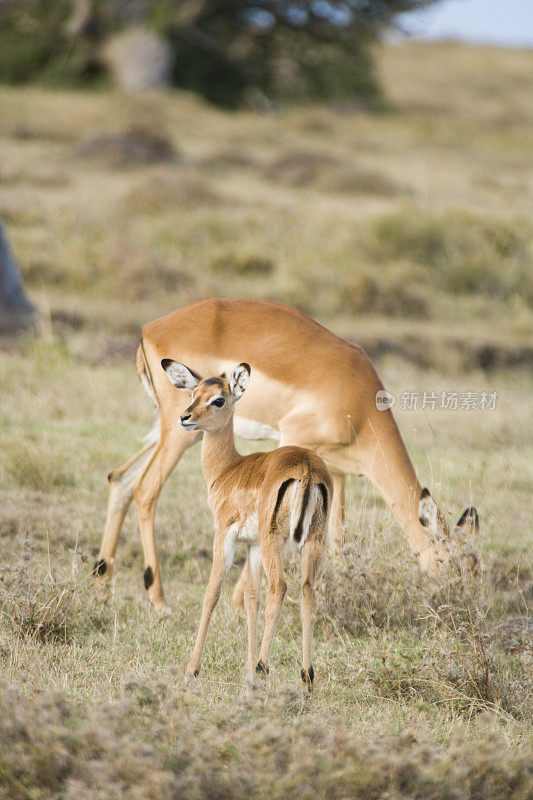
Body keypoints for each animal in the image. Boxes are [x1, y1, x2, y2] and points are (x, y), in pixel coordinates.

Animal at [93, 296, 480, 608]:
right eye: (453, 561)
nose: (461, 603)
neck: (359, 404)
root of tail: (150, 329)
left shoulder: (336, 471)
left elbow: (336, 537)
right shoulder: (292, 444)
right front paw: (240, 606)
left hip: (183, 431)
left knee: (120, 480)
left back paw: (101, 582)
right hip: (179, 429)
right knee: (145, 490)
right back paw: (158, 600)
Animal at [162, 360, 330, 692]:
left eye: (219, 399)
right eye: (194, 394)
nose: (185, 418)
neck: (228, 470)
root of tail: (306, 466)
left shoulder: (224, 536)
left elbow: (212, 593)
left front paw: (192, 670)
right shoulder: (251, 545)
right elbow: (251, 599)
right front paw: (248, 675)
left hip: (274, 539)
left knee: (279, 587)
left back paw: (265, 666)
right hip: (312, 541)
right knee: (307, 591)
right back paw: (306, 679)